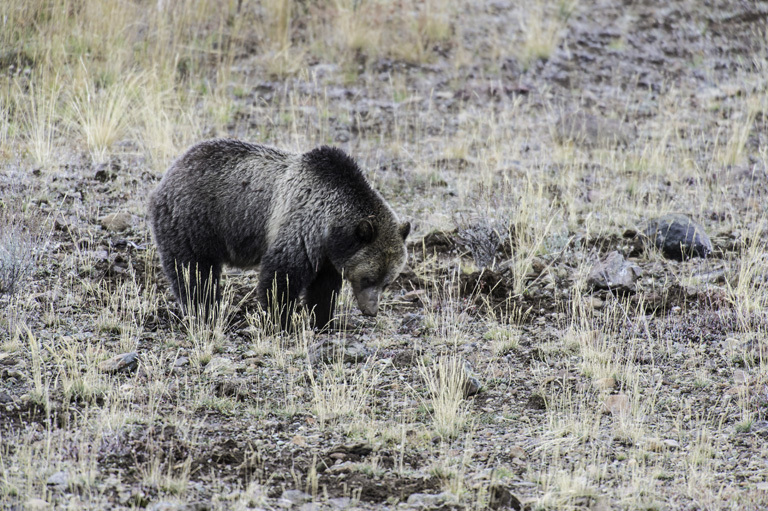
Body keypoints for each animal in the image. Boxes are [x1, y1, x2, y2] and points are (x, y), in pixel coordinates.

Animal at [148, 138, 408, 328]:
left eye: (387, 282)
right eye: (368, 278)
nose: (371, 311)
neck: (331, 226)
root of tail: (169, 173)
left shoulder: (327, 255)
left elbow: (323, 288)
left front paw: (324, 320)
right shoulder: (301, 227)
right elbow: (281, 276)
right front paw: (282, 320)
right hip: (193, 221)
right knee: (192, 271)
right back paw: (205, 311)